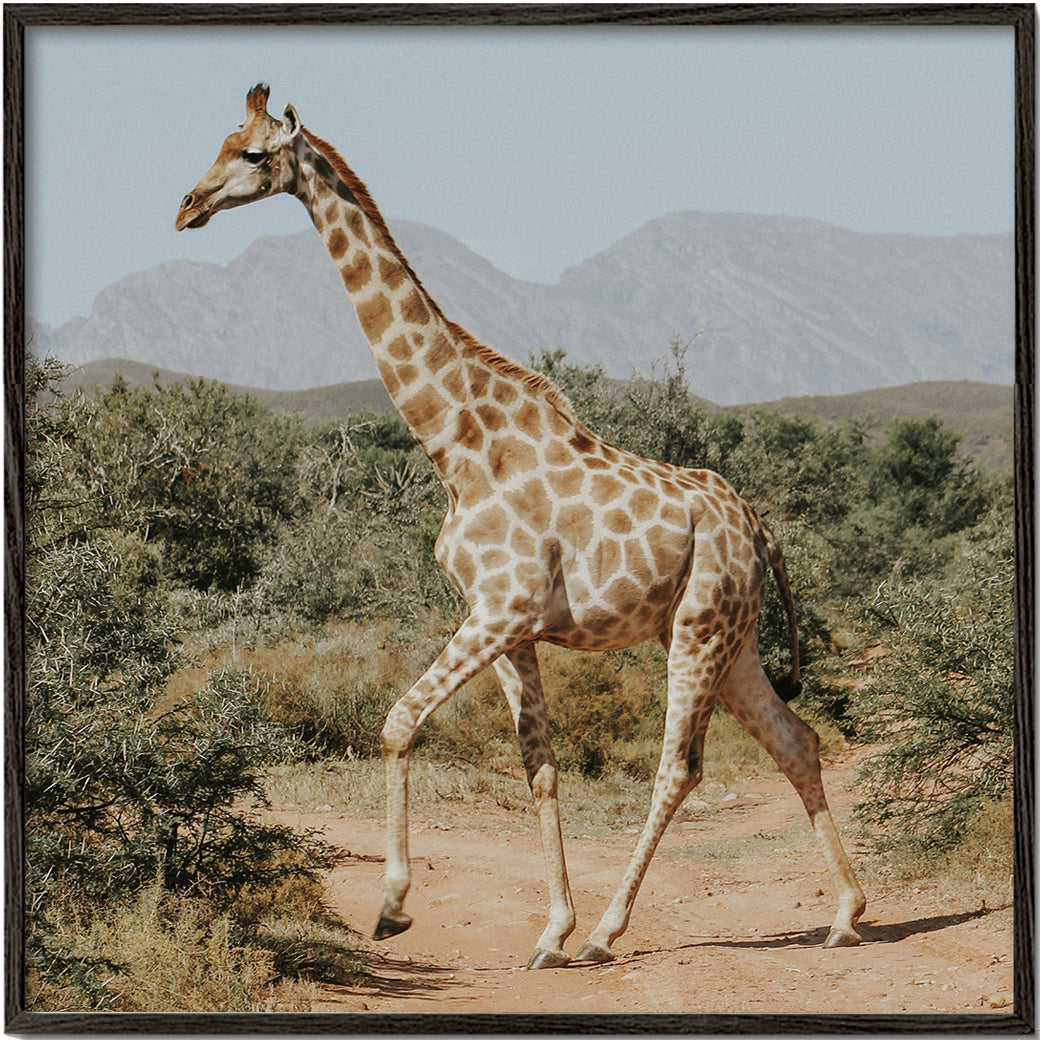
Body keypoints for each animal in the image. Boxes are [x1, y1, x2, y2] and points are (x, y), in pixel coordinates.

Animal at [176, 84, 866, 969]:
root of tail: (757, 528)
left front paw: (394, 907)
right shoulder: (509, 627)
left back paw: (610, 933)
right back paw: (845, 913)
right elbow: (539, 766)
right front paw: (548, 931)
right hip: (733, 636)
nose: (187, 207)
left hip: (700, 627)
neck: (457, 444)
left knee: (680, 767)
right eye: (220, 142)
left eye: (255, 154)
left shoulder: (500, 609)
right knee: (796, 740)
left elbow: (398, 722)